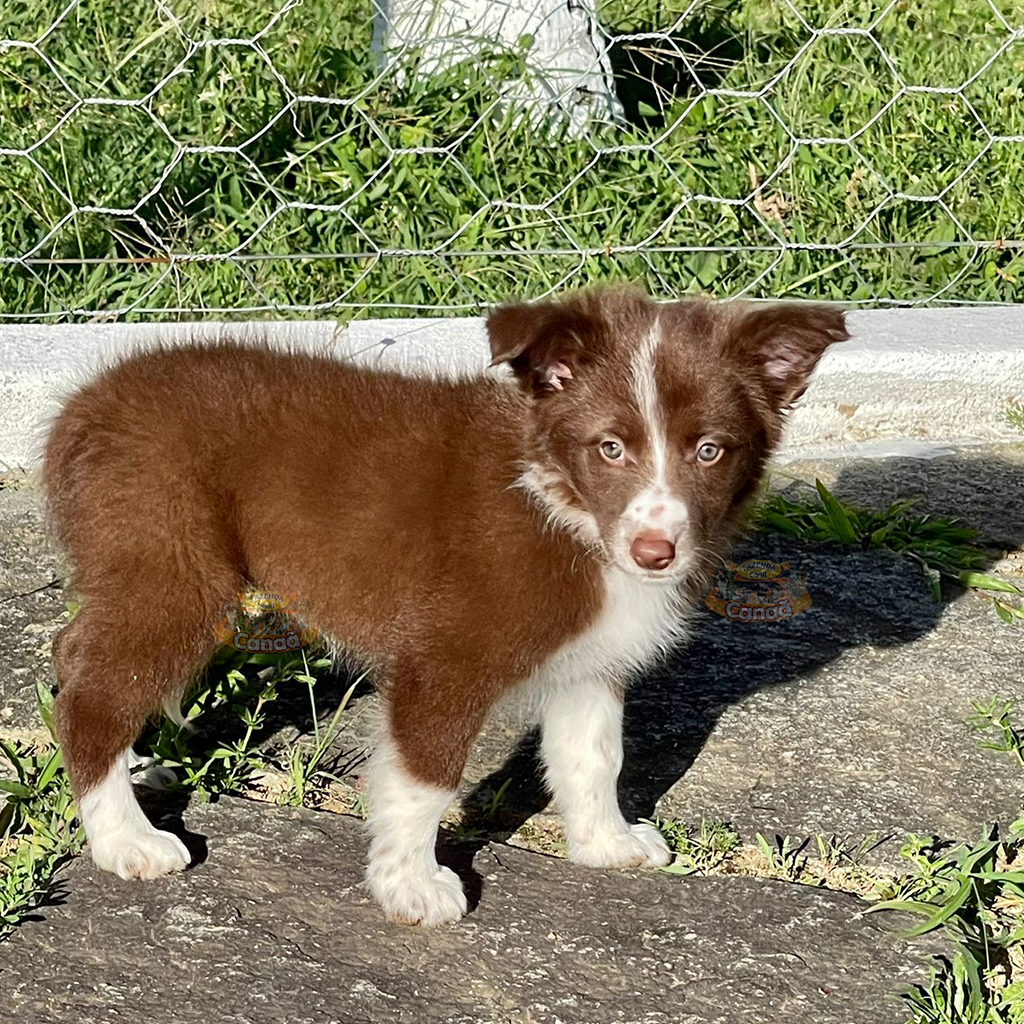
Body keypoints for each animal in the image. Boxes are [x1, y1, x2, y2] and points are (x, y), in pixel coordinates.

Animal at [44, 284, 843, 925]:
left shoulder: (590, 661)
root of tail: (82, 407)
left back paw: (138, 766)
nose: (656, 553)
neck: (562, 504)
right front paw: (411, 887)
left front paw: (605, 844)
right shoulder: (445, 656)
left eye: (709, 451)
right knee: (94, 681)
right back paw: (123, 838)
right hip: (173, 561)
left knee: (82, 652)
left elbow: (593, 755)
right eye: (610, 448)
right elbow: (426, 779)